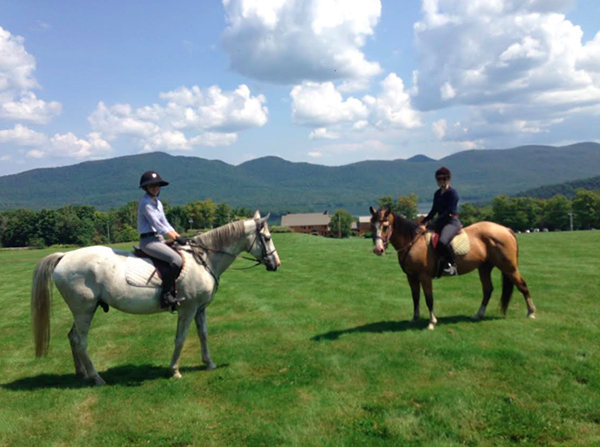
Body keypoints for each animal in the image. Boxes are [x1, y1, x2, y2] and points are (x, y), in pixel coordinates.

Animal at [30, 212, 278, 386]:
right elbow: (180, 339)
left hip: (83, 311)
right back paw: (97, 377)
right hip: (84, 310)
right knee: (81, 341)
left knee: (72, 338)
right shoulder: (187, 309)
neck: (203, 259)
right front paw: (175, 370)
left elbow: (203, 335)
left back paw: (82, 374)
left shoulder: (200, 309)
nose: (276, 264)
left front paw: (209, 363)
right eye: (266, 238)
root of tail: (64, 256)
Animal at [368, 208, 536, 330]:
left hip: (509, 267)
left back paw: (531, 312)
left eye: (385, 226)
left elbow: (429, 299)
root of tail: (506, 229)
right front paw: (415, 318)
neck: (413, 242)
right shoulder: (411, 276)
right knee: (488, 289)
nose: (378, 250)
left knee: (522, 286)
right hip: (484, 268)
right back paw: (478, 315)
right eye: (372, 226)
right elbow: (415, 297)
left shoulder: (424, 276)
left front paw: (432, 322)